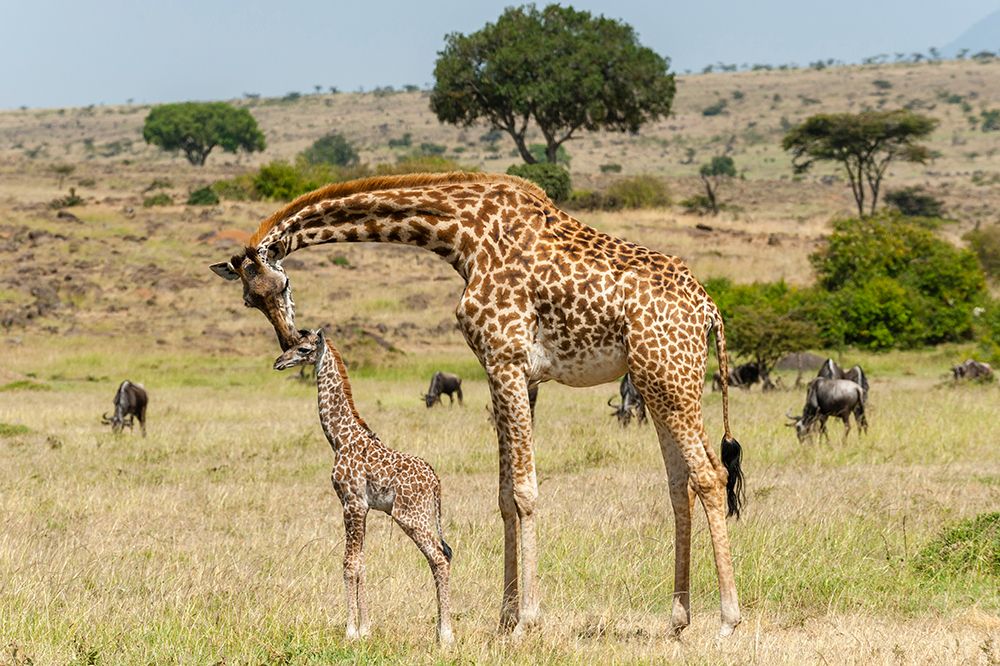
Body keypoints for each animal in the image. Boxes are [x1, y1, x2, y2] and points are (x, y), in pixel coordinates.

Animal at [274, 328, 455, 644]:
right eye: (294, 345)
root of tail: (436, 482)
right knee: (441, 557)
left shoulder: (351, 503)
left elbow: (349, 564)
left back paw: (445, 635)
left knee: (439, 558)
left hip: (411, 516)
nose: (278, 362)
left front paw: (351, 631)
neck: (339, 438)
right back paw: (439, 631)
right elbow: (362, 563)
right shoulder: (364, 507)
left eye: (304, 349)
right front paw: (366, 628)